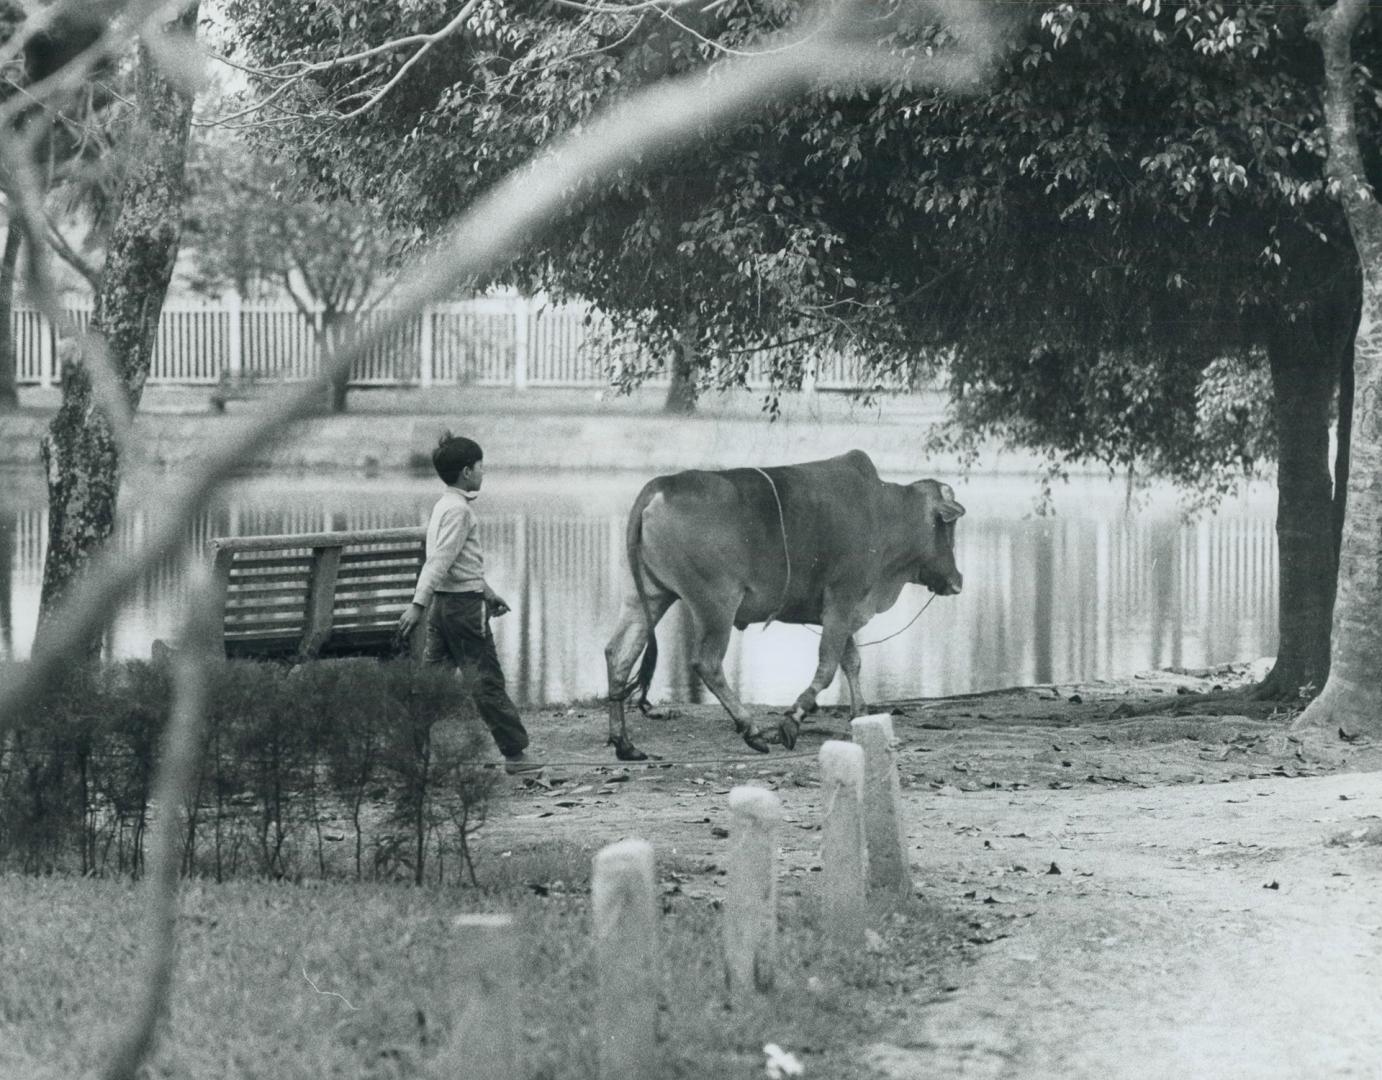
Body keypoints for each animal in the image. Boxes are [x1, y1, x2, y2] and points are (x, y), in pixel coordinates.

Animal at [599, 445, 967, 757]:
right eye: (948, 528)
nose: (958, 580)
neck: (885, 512)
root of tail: (660, 484)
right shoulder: (841, 601)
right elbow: (828, 667)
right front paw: (792, 719)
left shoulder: (842, 613)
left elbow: (851, 662)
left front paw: (860, 714)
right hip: (716, 605)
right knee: (707, 663)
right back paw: (751, 729)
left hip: (648, 596)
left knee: (619, 653)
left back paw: (624, 743)